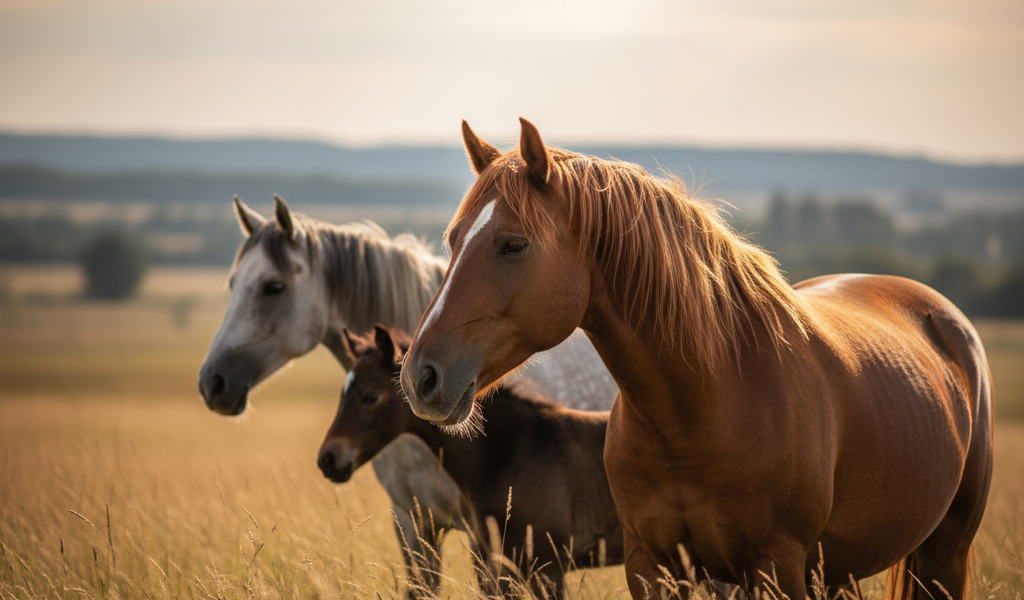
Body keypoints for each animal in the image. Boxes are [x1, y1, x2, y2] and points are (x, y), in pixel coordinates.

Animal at [318, 325, 624, 598]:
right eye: (343, 393)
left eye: (370, 396)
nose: (328, 459)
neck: (513, 452)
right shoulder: (499, 567)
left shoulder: (547, 569)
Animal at [399, 119, 994, 600]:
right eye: (453, 239)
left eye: (513, 244)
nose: (419, 376)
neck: (707, 405)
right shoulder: (652, 565)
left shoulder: (778, 568)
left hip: (942, 556)